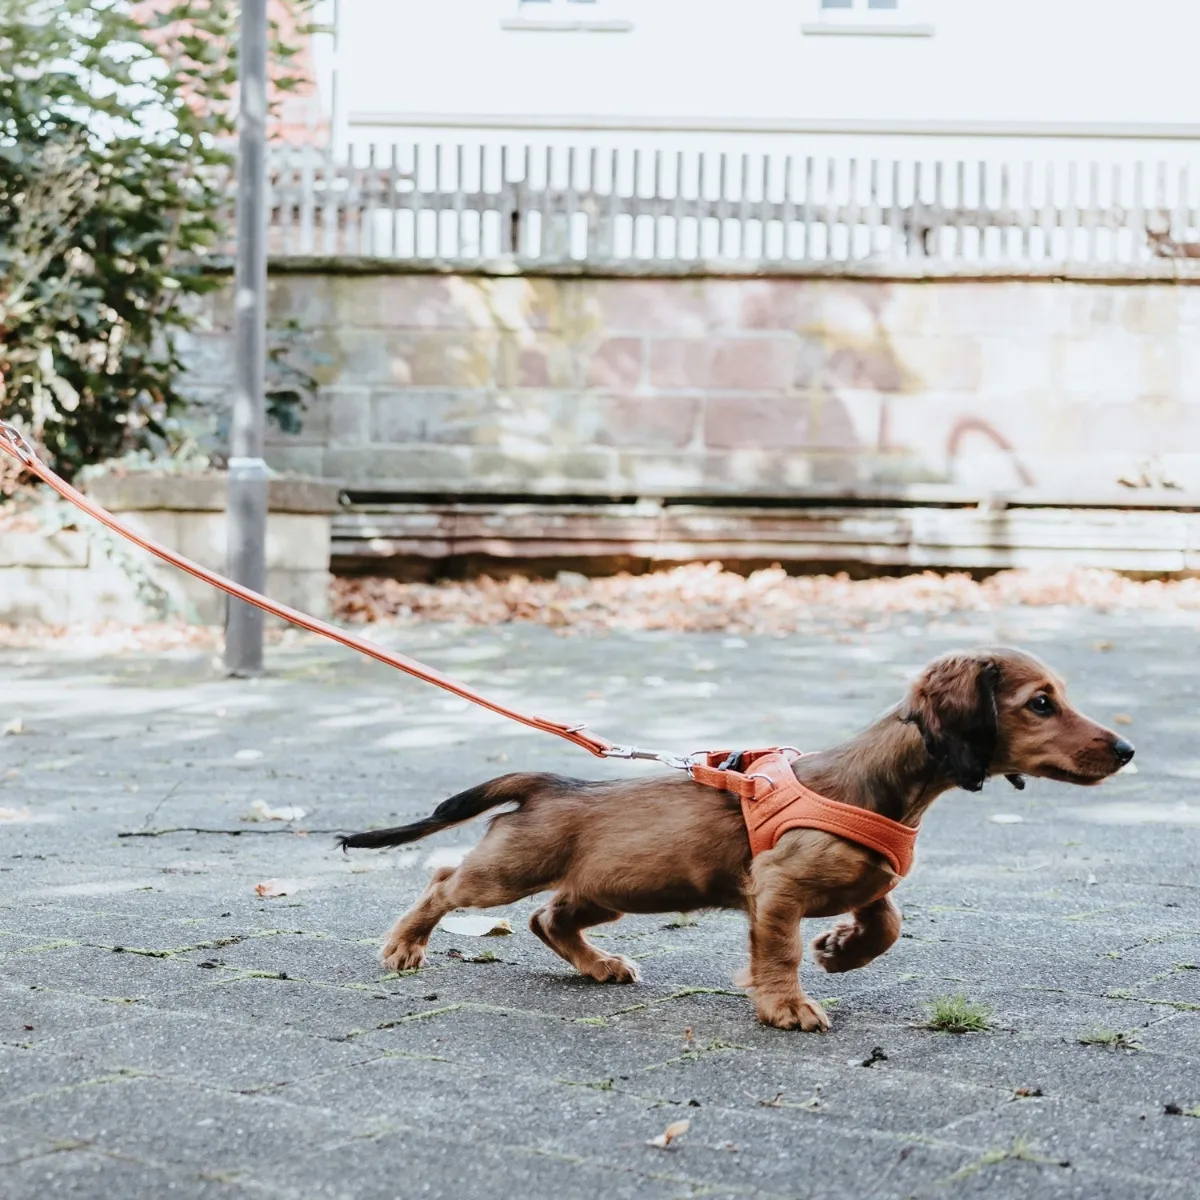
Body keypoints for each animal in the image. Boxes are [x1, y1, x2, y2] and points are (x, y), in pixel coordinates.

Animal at [340, 648, 1132, 1032]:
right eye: (1041, 703)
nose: (1126, 750)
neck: (885, 789)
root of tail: (553, 782)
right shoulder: (777, 886)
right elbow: (780, 952)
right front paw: (788, 1006)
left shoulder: (864, 877)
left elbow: (887, 918)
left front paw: (842, 950)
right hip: (509, 869)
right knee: (446, 883)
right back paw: (405, 946)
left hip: (614, 887)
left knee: (549, 917)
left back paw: (598, 966)